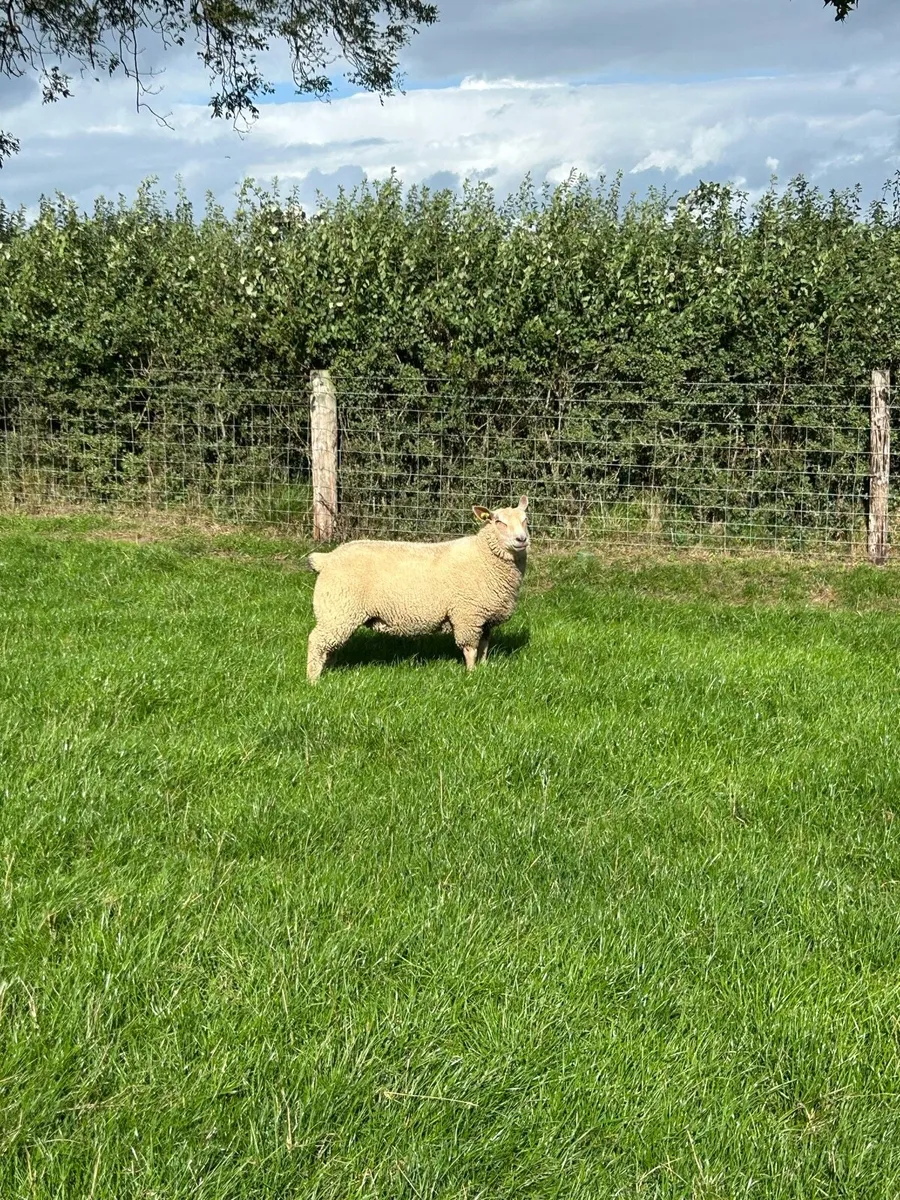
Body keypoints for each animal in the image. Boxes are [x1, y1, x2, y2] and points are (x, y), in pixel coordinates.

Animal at [305, 496, 530, 683]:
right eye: (499, 522)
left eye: (525, 520)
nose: (522, 539)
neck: (484, 556)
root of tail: (327, 559)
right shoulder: (467, 615)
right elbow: (471, 649)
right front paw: (471, 674)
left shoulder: (484, 618)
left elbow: (484, 647)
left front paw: (484, 669)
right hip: (338, 609)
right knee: (316, 642)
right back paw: (313, 680)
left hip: (339, 613)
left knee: (330, 646)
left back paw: (328, 670)